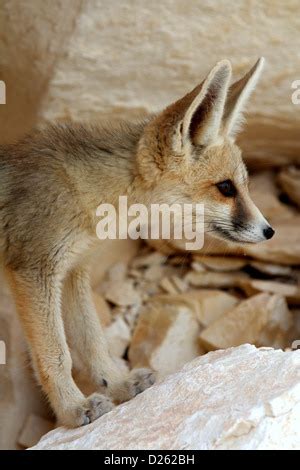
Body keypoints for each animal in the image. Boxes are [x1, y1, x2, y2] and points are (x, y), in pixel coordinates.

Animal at [0, 57, 274, 426]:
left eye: (243, 185)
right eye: (226, 188)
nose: (269, 230)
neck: (85, 193)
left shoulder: (73, 272)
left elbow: (93, 342)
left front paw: (116, 383)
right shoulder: (35, 271)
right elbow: (57, 354)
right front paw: (73, 409)